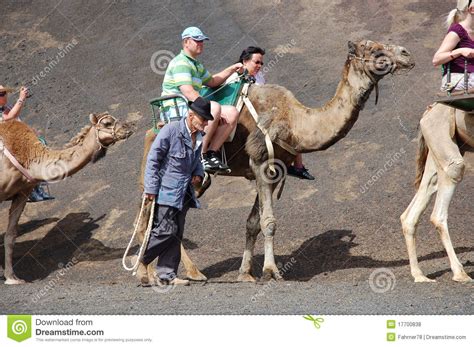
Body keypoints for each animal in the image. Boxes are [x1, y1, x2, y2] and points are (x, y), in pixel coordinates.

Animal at [0, 114, 133, 286]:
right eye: (107, 123)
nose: (129, 126)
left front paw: (13, 278)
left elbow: (10, 235)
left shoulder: (23, 192)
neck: (28, 155)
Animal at [135, 40, 412, 286]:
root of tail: (153, 130)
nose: (407, 54)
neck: (294, 122)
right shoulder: (260, 163)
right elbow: (268, 222)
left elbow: (253, 223)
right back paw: (156, 274)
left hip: (196, 179)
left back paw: (171, 273)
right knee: (152, 217)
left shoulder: (276, 171)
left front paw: (245, 274)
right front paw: (271, 271)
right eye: (375, 49)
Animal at [400, 103, 474, 282]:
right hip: (445, 146)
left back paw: (420, 276)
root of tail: (428, 112)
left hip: (437, 151)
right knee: (437, 215)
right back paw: (460, 274)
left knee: (411, 213)